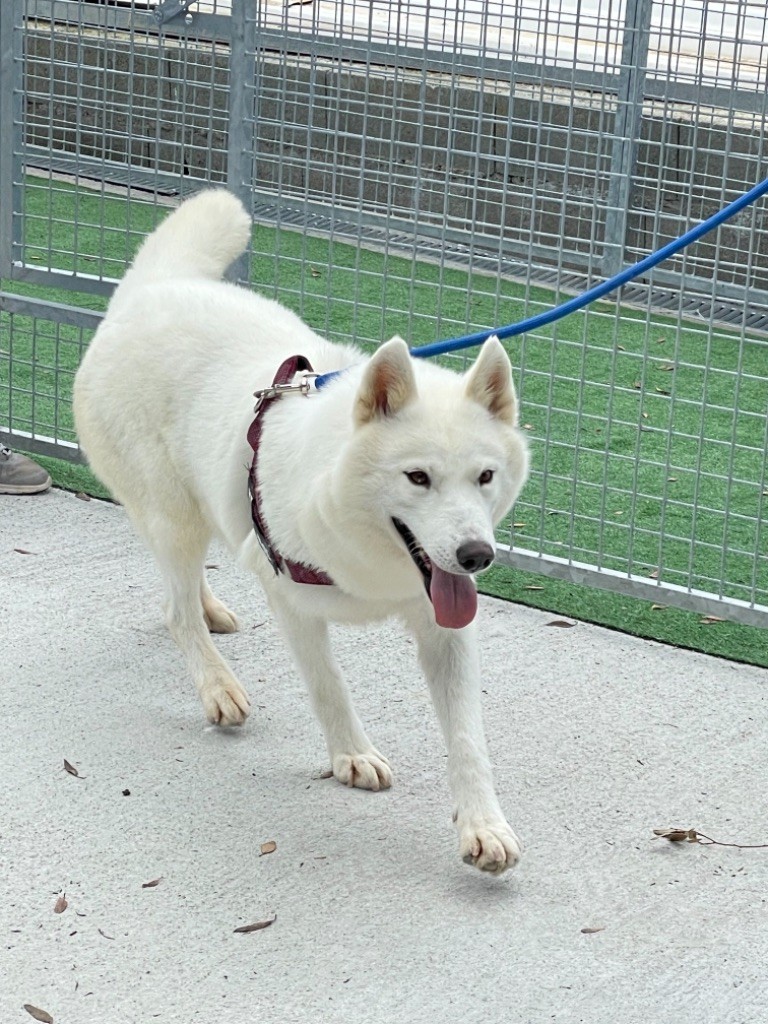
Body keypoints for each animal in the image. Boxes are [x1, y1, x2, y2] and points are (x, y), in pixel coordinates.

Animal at [73, 192, 528, 872]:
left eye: (486, 476)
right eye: (417, 477)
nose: (475, 556)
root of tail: (151, 287)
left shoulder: (444, 626)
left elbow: (468, 737)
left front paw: (483, 825)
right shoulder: (290, 598)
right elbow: (328, 685)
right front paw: (351, 756)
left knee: (180, 587)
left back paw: (208, 610)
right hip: (175, 515)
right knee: (175, 609)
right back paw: (217, 684)